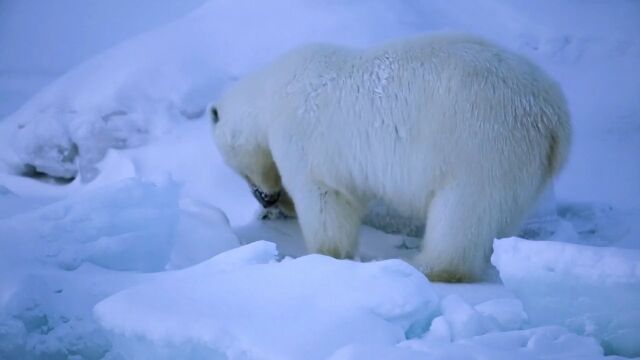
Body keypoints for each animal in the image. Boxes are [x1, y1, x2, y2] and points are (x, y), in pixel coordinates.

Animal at [212, 33, 572, 282]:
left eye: (239, 170)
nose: (265, 198)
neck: (270, 95)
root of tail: (554, 114)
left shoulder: (303, 137)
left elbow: (325, 200)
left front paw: (325, 256)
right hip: (522, 165)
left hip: (480, 143)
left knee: (463, 212)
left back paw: (429, 266)